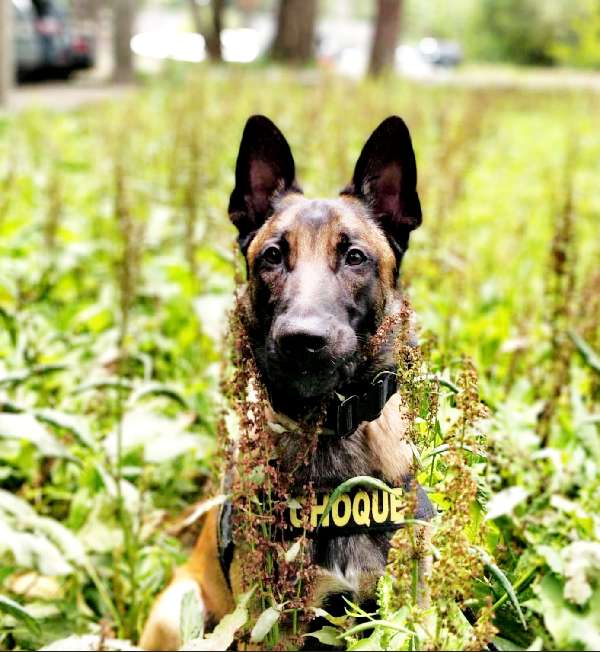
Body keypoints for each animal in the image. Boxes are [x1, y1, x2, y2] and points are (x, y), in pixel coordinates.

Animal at [140, 114, 432, 648]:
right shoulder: (276, 625)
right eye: (273, 256)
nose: (303, 340)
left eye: (355, 257)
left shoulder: (406, 616)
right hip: (179, 612)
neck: (330, 432)